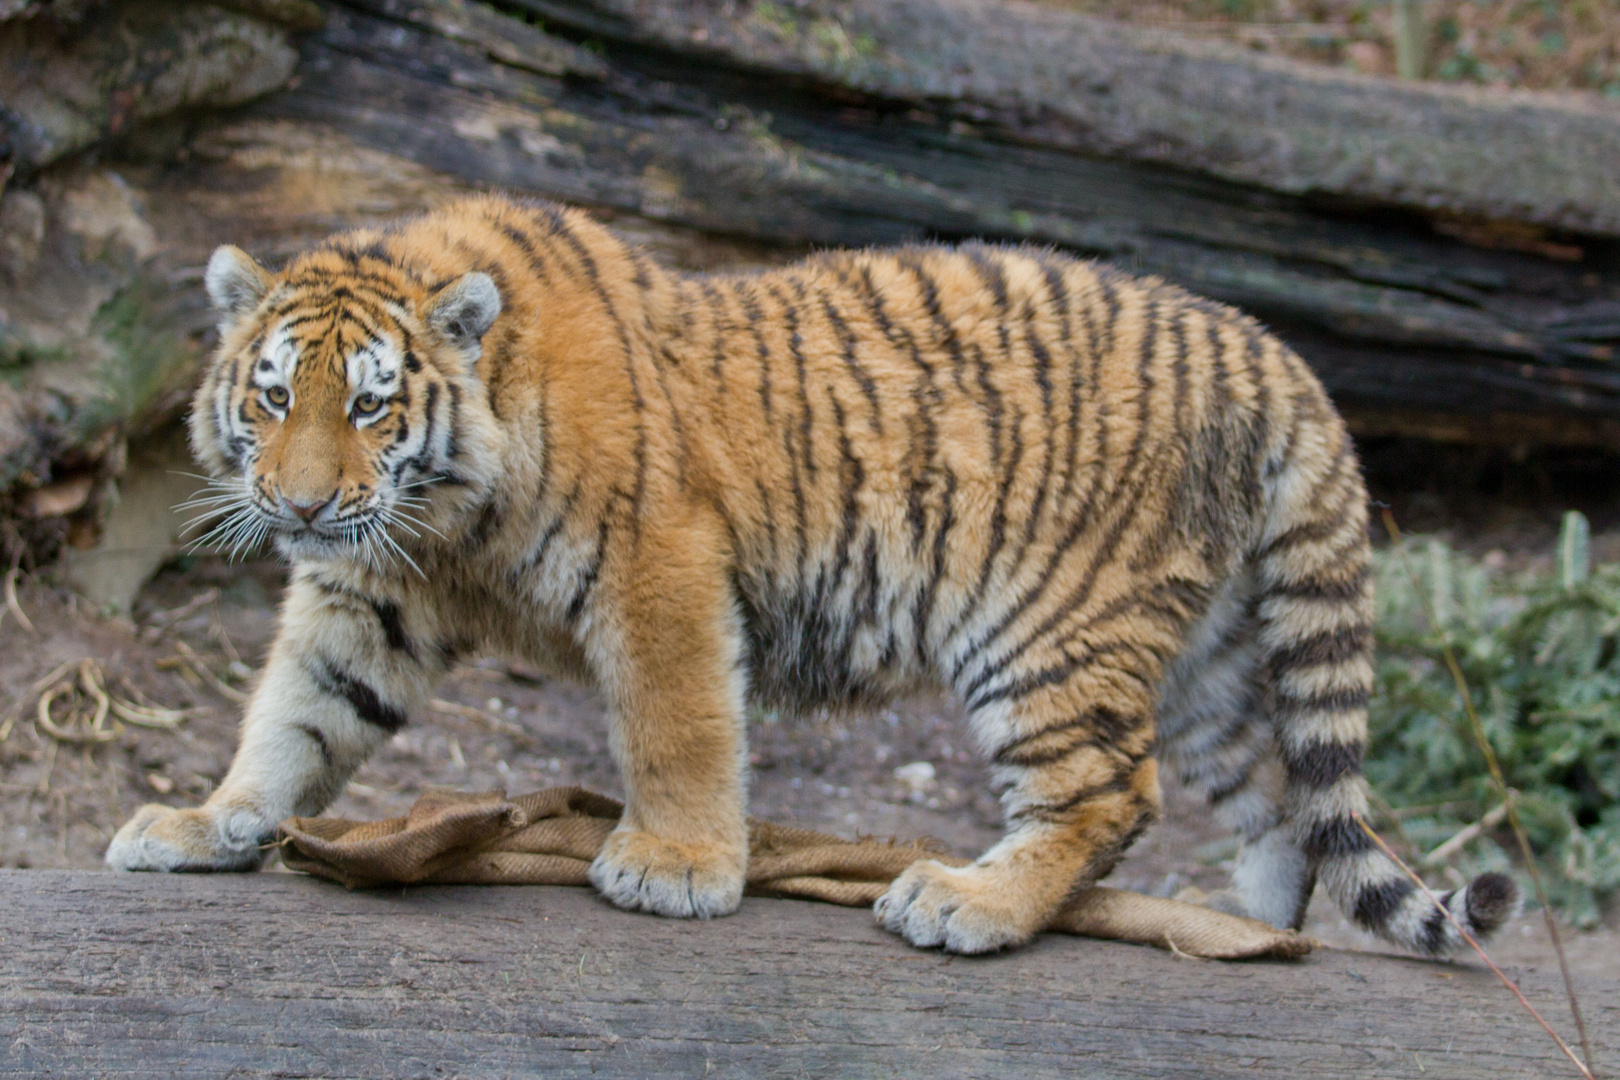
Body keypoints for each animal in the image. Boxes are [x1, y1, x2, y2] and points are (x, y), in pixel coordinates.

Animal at [104, 194, 1516, 952]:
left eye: (372, 405)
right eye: (273, 397)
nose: (299, 505)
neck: (446, 514)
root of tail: (1267, 350)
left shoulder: (658, 562)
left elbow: (676, 725)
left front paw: (675, 868)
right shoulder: (369, 596)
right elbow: (294, 718)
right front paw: (209, 822)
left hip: (1049, 626)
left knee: (1112, 796)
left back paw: (967, 904)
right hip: (1212, 655)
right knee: (1273, 801)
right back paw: (1248, 936)